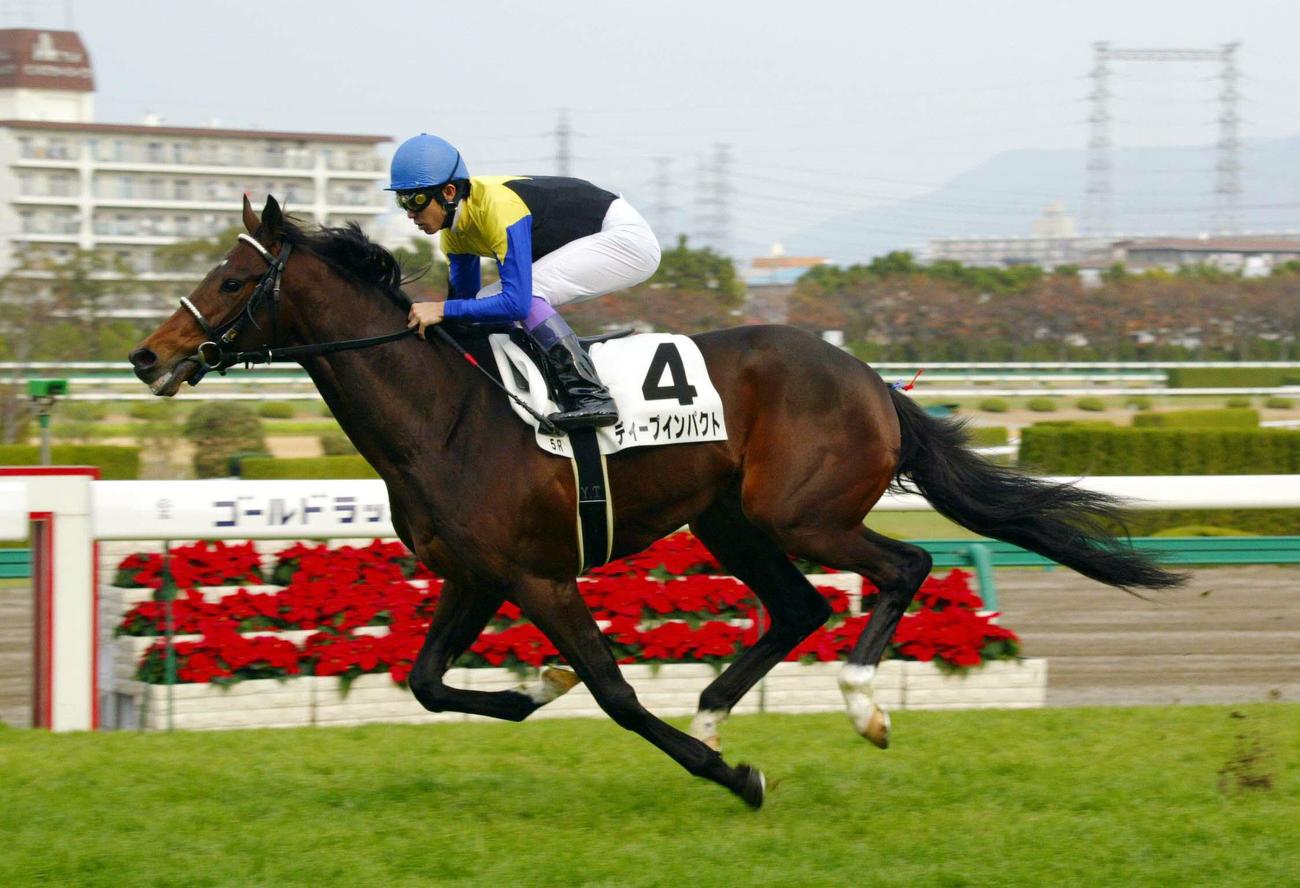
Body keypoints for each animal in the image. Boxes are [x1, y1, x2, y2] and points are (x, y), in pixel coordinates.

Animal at [129, 195, 1182, 809]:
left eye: (230, 278)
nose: (146, 356)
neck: (448, 417)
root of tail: (869, 377)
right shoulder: (476, 576)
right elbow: (426, 683)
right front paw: (535, 688)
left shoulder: (540, 576)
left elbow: (617, 693)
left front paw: (737, 778)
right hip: (729, 518)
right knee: (799, 606)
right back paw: (719, 712)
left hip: (804, 513)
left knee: (907, 565)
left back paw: (859, 705)